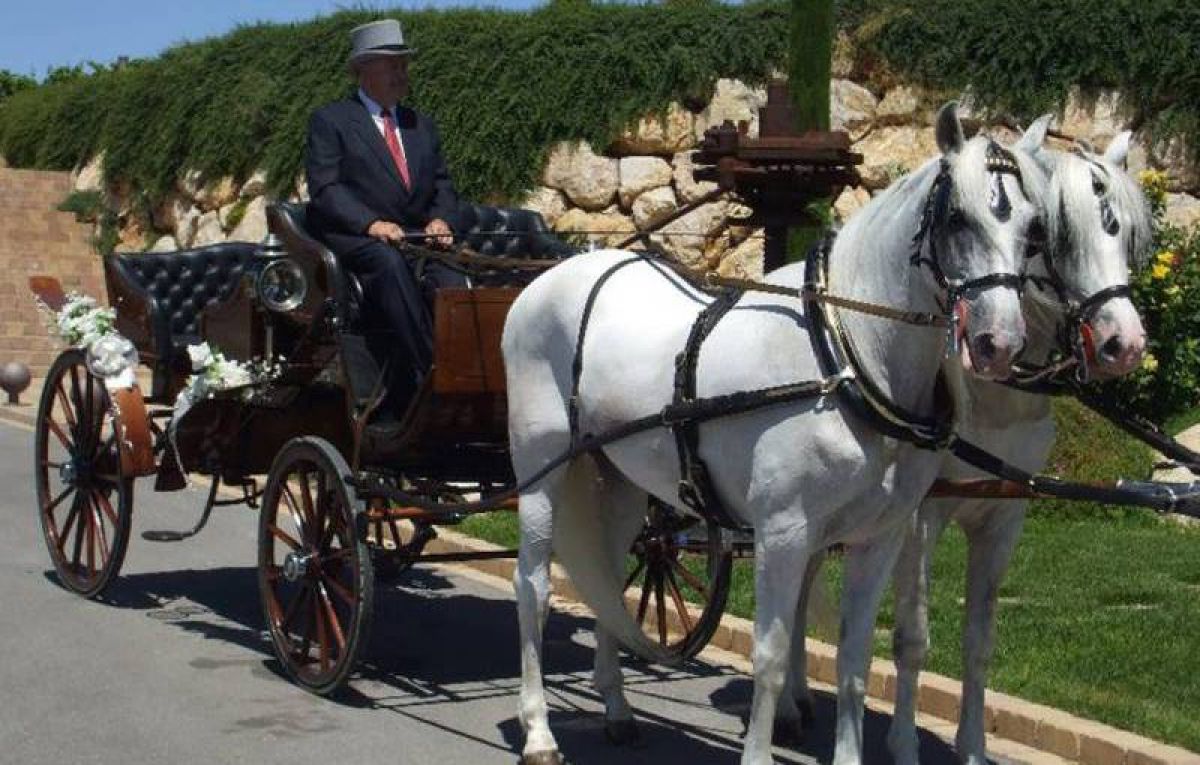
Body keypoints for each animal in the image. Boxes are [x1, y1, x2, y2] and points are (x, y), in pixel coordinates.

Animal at [501, 103, 1046, 765]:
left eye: (1034, 230)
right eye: (959, 219)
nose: (1000, 343)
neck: (844, 353)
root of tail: (550, 278)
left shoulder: (879, 537)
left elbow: (854, 664)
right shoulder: (783, 532)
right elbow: (771, 657)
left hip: (619, 482)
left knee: (603, 574)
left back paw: (616, 707)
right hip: (543, 471)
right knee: (533, 587)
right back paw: (538, 730)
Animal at [782, 119, 1147, 765]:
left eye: (1123, 232)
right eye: (1054, 234)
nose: (1123, 343)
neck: (996, 400)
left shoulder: (1003, 518)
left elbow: (979, 644)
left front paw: (973, 747)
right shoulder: (920, 517)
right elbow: (912, 637)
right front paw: (904, 744)